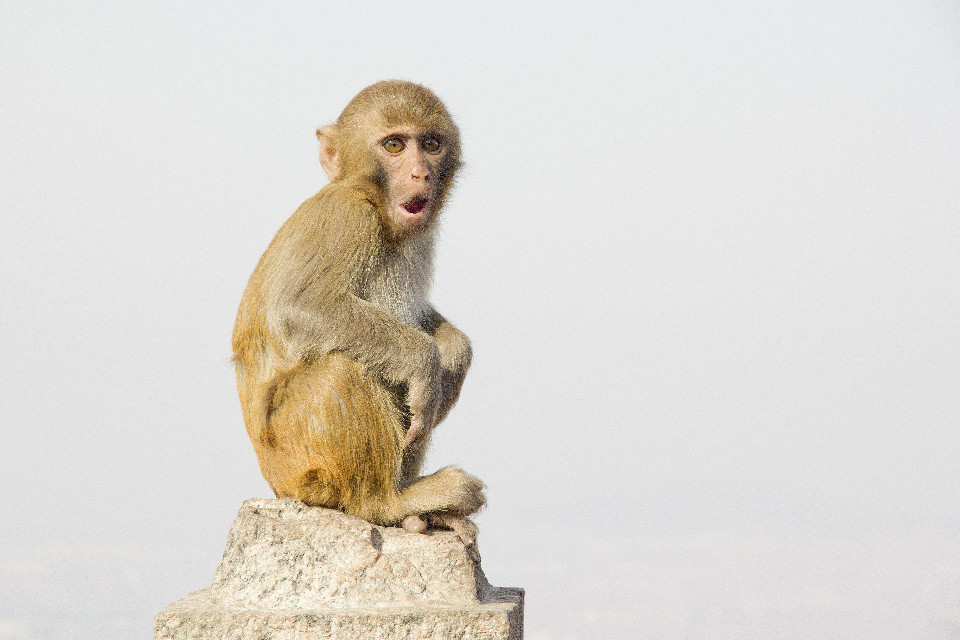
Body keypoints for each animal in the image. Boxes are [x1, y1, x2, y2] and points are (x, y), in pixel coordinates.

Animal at [232, 80, 484, 548]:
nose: (421, 173)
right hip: (299, 463)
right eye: (394, 145)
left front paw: (455, 350)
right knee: (340, 368)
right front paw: (425, 361)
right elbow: (300, 305)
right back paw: (389, 502)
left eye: (431, 144)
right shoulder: (347, 217)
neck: (373, 200)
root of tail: (275, 486)